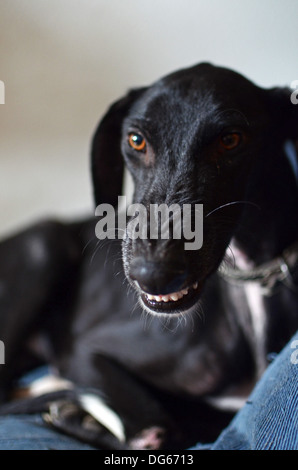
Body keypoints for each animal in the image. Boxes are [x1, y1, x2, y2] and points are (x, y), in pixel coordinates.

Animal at [0, 62, 298, 448]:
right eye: (136, 140)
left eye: (230, 139)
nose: (152, 273)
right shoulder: (83, 351)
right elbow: (154, 430)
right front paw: (78, 416)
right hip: (43, 243)